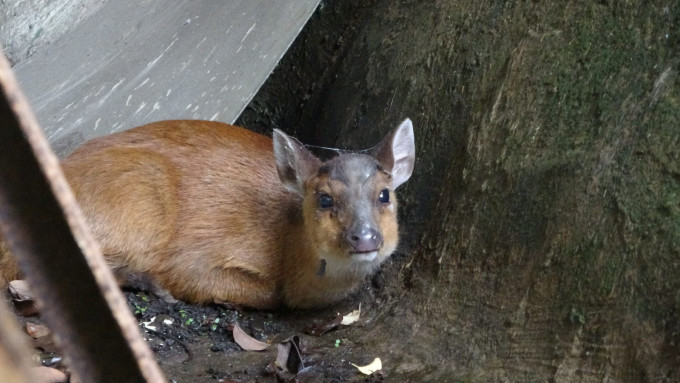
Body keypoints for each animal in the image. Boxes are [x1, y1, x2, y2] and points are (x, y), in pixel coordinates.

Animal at [1, 119, 414, 308]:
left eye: (384, 194)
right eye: (324, 199)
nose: (365, 237)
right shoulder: (193, 257)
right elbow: (268, 294)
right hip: (141, 197)